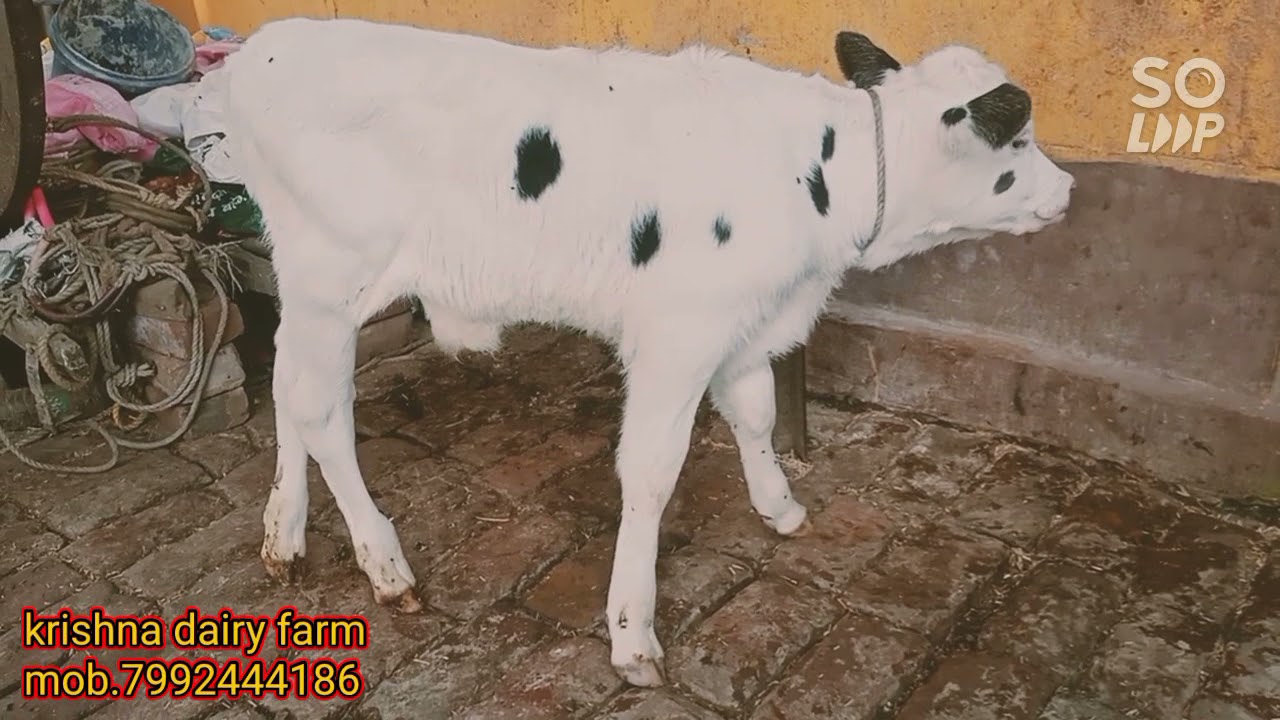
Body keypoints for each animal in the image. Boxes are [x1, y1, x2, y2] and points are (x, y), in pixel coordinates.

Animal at [220, 17, 1075, 687]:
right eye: (1021, 139)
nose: (1067, 189)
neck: (819, 179)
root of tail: (264, 47)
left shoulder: (741, 322)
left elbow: (757, 415)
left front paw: (780, 506)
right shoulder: (680, 333)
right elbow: (653, 473)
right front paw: (632, 630)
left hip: (308, 286)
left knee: (287, 389)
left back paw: (284, 536)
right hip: (334, 275)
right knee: (320, 410)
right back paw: (384, 565)